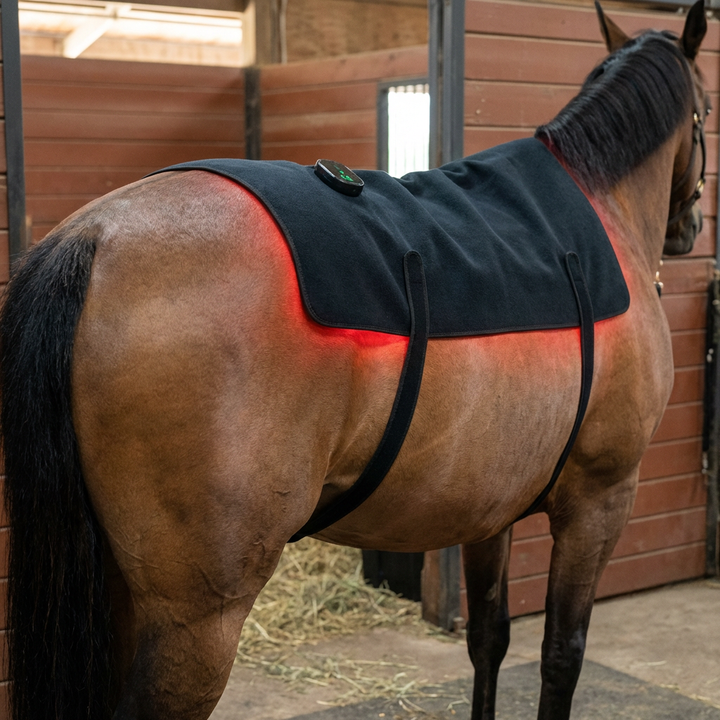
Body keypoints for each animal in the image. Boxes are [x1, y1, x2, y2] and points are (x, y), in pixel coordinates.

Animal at [0, 2, 709, 719]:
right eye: (706, 107)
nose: (688, 230)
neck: (601, 210)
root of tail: (93, 237)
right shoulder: (599, 500)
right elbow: (562, 655)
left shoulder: (493, 509)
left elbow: (489, 638)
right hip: (195, 618)